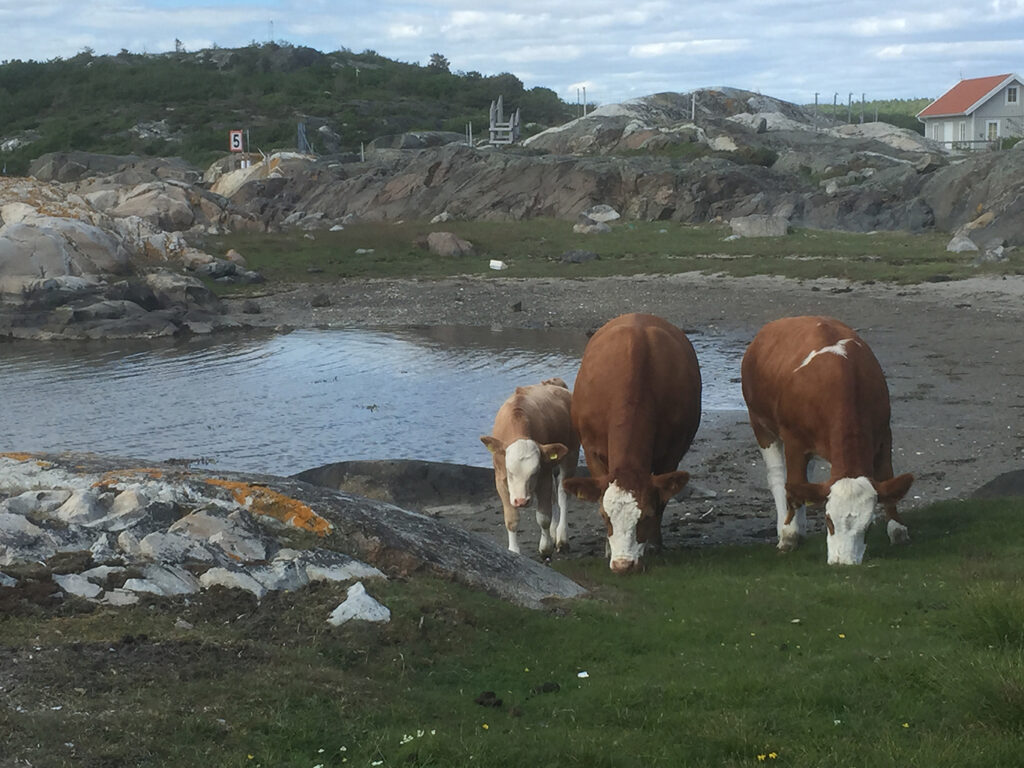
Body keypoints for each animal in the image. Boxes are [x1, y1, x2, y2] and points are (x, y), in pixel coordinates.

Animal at [481, 376, 581, 557]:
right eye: (510, 472)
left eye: (534, 472)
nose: (521, 501)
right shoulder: (500, 479)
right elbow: (511, 519)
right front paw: (514, 550)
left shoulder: (544, 475)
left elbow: (543, 517)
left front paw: (545, 548)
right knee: (554, 496)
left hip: (571, 454)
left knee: (562, 495)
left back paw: (561, 537)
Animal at [561, 313, 704, 573]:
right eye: (605, 517)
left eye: (645, 516)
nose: (623, 565)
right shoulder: (592, 450)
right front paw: (607, 549)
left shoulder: (672, 453)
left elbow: (662, 500)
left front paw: (655, 544)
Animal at [741, 313, 917, 565]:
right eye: (828, 521)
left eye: (868, 526)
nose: (842, 563)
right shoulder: (793, 439)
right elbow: (791, 483)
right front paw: (789, 535)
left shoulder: (884, 433)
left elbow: (888, 476)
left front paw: (897, 529)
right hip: (760, 424)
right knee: (778, 476)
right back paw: (785, 527)